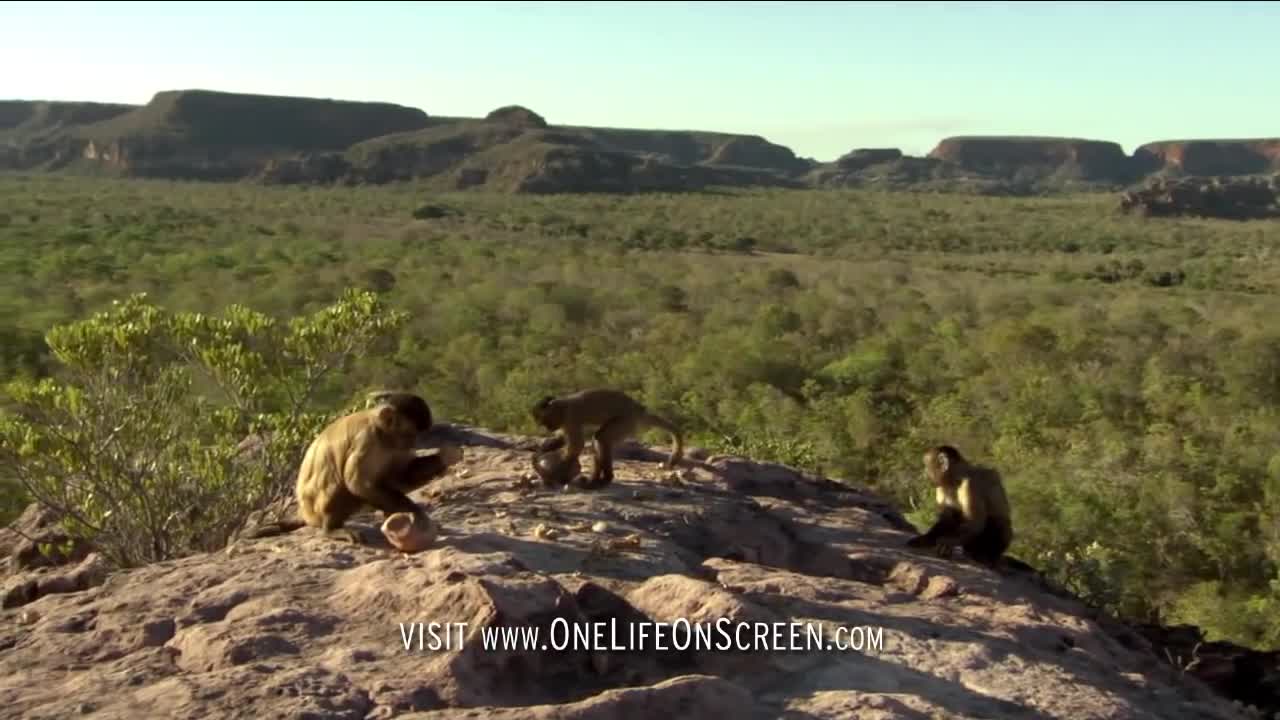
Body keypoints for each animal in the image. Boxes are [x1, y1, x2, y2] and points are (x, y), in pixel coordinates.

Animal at [243, 389, 460, 540]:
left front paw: (446, 457)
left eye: (415, 436)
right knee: (341, 484)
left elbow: (399, 475)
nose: (411, 442)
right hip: (315, 509)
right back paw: (331, 529)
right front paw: (413, 511)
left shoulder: (393, 447)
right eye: (409, 433)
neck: (380, 431)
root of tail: (305, 514)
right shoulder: (367, 439)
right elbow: (357, 484)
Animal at [529, 386, 686, 486]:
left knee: (602, 438)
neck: (563, 405)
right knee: (599, 439)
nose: (547, 428)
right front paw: (539, 454)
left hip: (627, 420)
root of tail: (640, 410)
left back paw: (603, 480)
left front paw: (559, 471)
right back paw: (598, 479)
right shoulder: (564, 421)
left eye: (544, 422)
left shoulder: (570, 416)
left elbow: (577, 445)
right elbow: (561, 440)